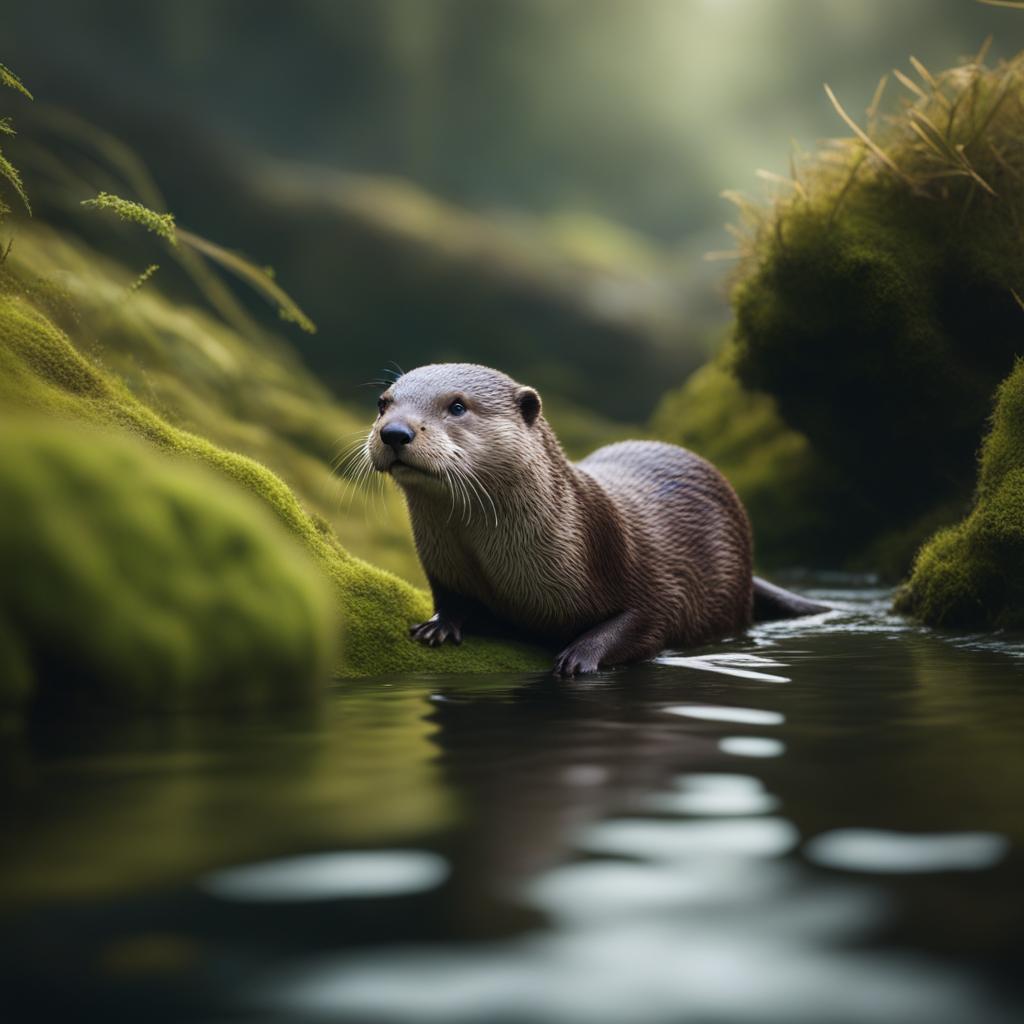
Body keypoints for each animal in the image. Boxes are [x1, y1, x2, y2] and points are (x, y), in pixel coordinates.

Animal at [364, 364, 827, 675]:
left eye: (458, 406)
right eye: (383, 403)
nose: (395, 431)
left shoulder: (638, 572)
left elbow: (647, 621)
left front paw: (579, 655)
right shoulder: (445, 567)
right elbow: (451, 599)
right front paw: (439, 626)